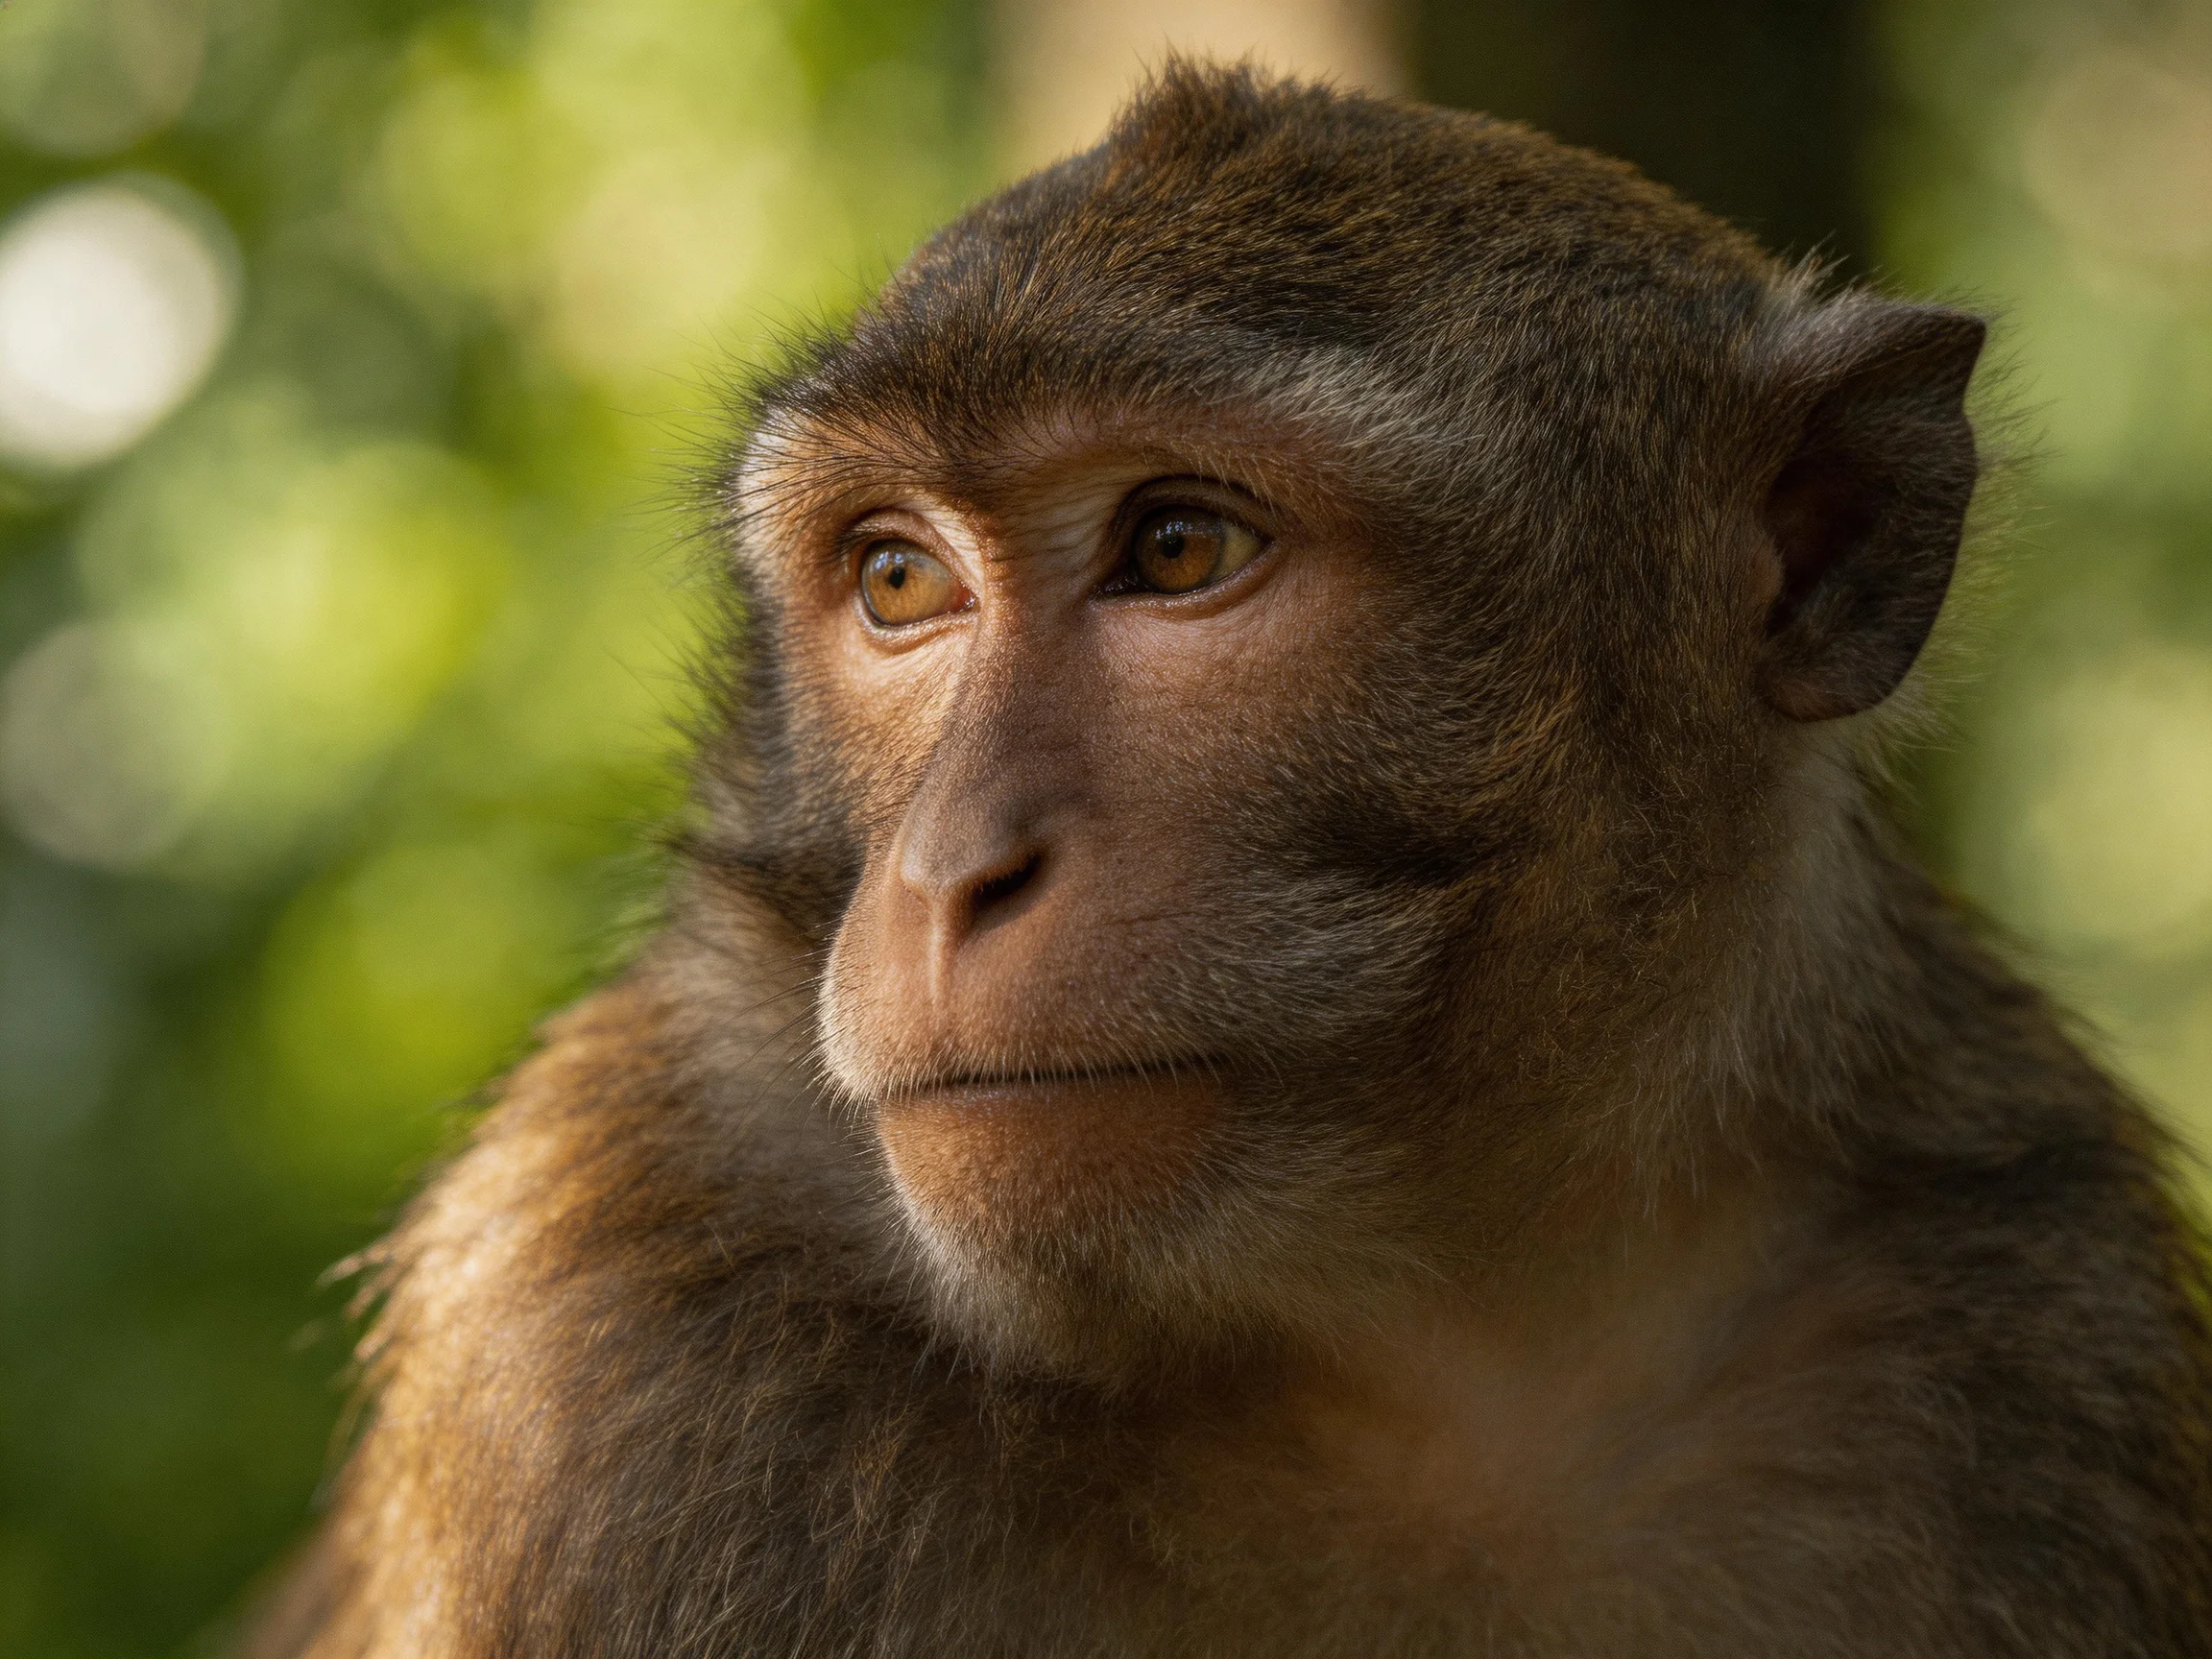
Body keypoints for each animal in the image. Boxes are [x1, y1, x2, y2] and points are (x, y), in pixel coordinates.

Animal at [254, 61, 2212, 1659]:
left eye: (1181, 546)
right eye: (897, 579)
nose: (949, 871)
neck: (1439, 1347)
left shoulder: (2039, 1320)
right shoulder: (592, 1339)